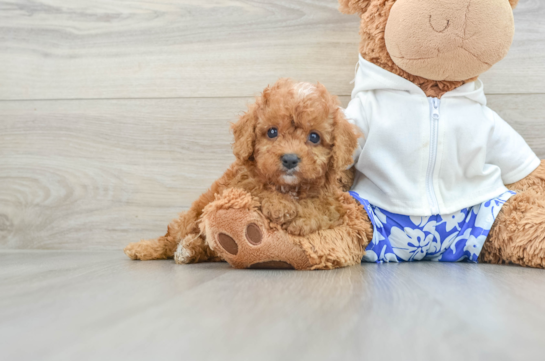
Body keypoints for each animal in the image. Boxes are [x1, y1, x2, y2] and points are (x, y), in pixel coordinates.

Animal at [123, 78, 370, 268]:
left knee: (206, 247)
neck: (289, 187)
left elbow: (322, 208)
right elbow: (257, 188)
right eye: (272, 132)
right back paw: (147, 248)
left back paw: (190, 249)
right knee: (171, 237)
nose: (290, 159)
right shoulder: (237, 183)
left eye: (314, 137)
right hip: (193, 215)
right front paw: (279, 205)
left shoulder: (333, 202)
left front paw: (301, 219)